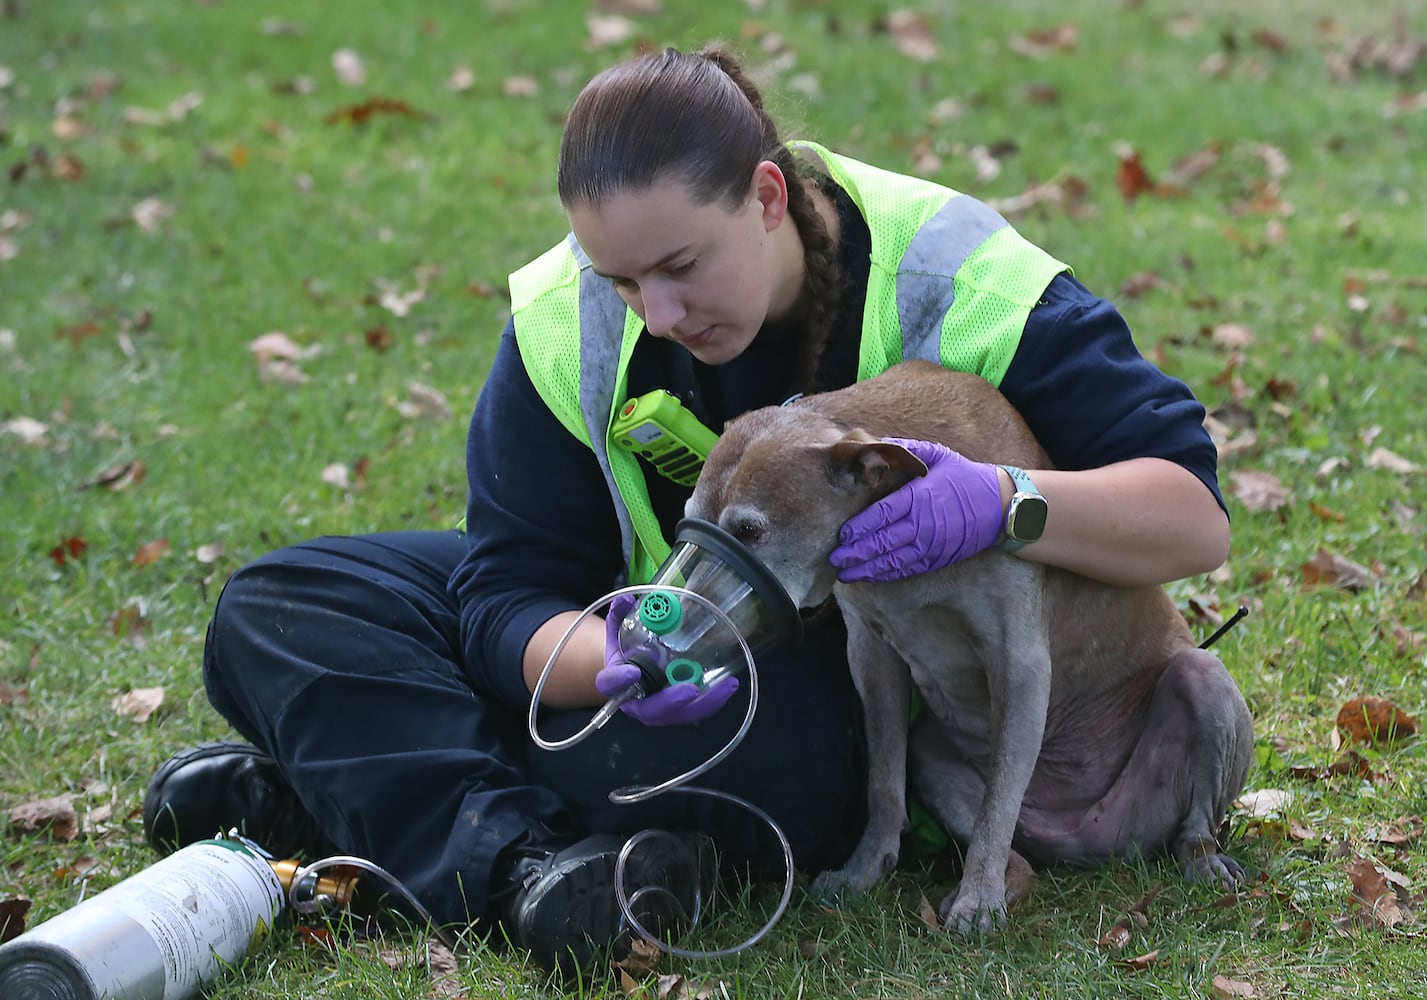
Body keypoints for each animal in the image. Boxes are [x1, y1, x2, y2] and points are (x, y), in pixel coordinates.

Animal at [684, 360, 1255, 935]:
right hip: (933, 755)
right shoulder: (871, 654)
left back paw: (1202, 857)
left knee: (1194, 813)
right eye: (691, 521)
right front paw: (865, 870)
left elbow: (998, 803)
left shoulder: (1019, 664)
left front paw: (978, 900)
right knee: (1016, 856)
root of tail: (1087, 841)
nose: (680, 619)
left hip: (1203, 682)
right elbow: (884, 783)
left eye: (750, 530)